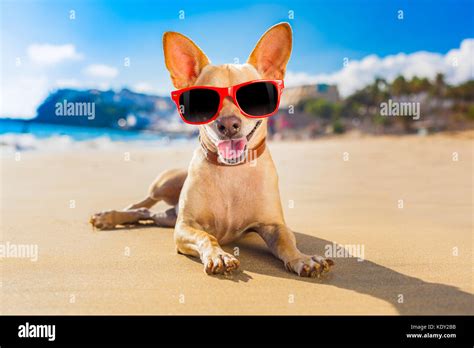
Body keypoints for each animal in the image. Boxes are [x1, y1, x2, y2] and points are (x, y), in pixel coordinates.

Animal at [90, 22, 334, 278]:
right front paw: (219, 256)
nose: (227, 124)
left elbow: (287, 241)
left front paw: (303, 259)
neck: (231, 171)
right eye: (203, 101)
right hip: (164, 184)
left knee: (146, 215)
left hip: (166, 217)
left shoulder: (273, 225)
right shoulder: (185, 227)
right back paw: (109, 216)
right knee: (140, 204)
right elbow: (206, 236)